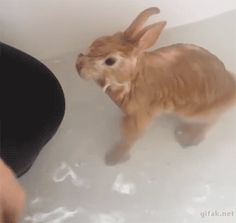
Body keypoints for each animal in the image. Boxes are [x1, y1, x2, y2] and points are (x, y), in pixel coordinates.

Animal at [76, 7, 236, 166]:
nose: (78, 65)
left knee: (210, 122)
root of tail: (231, 85)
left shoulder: (140, 115)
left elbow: (129, 139)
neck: (133, 78)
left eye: (110, 61)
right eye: (98, 41)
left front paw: (114, 158)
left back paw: (187, 138)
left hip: (195, 113)